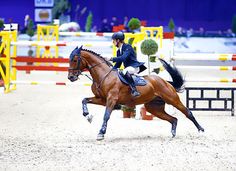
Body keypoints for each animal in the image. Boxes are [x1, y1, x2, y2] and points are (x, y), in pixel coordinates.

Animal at [67, 45, 204, 140]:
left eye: (75, 60)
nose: (71, 77)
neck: (103, 75)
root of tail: (165, 81)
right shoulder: (101, 99)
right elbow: (84, 100)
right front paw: (88, 115)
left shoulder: (111, 99)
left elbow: (106, 115)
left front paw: (101, 133)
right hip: (153, 107)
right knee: (173, 119)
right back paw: (173, 133)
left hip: (172, 99)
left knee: (188, 113)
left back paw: (201, 130)